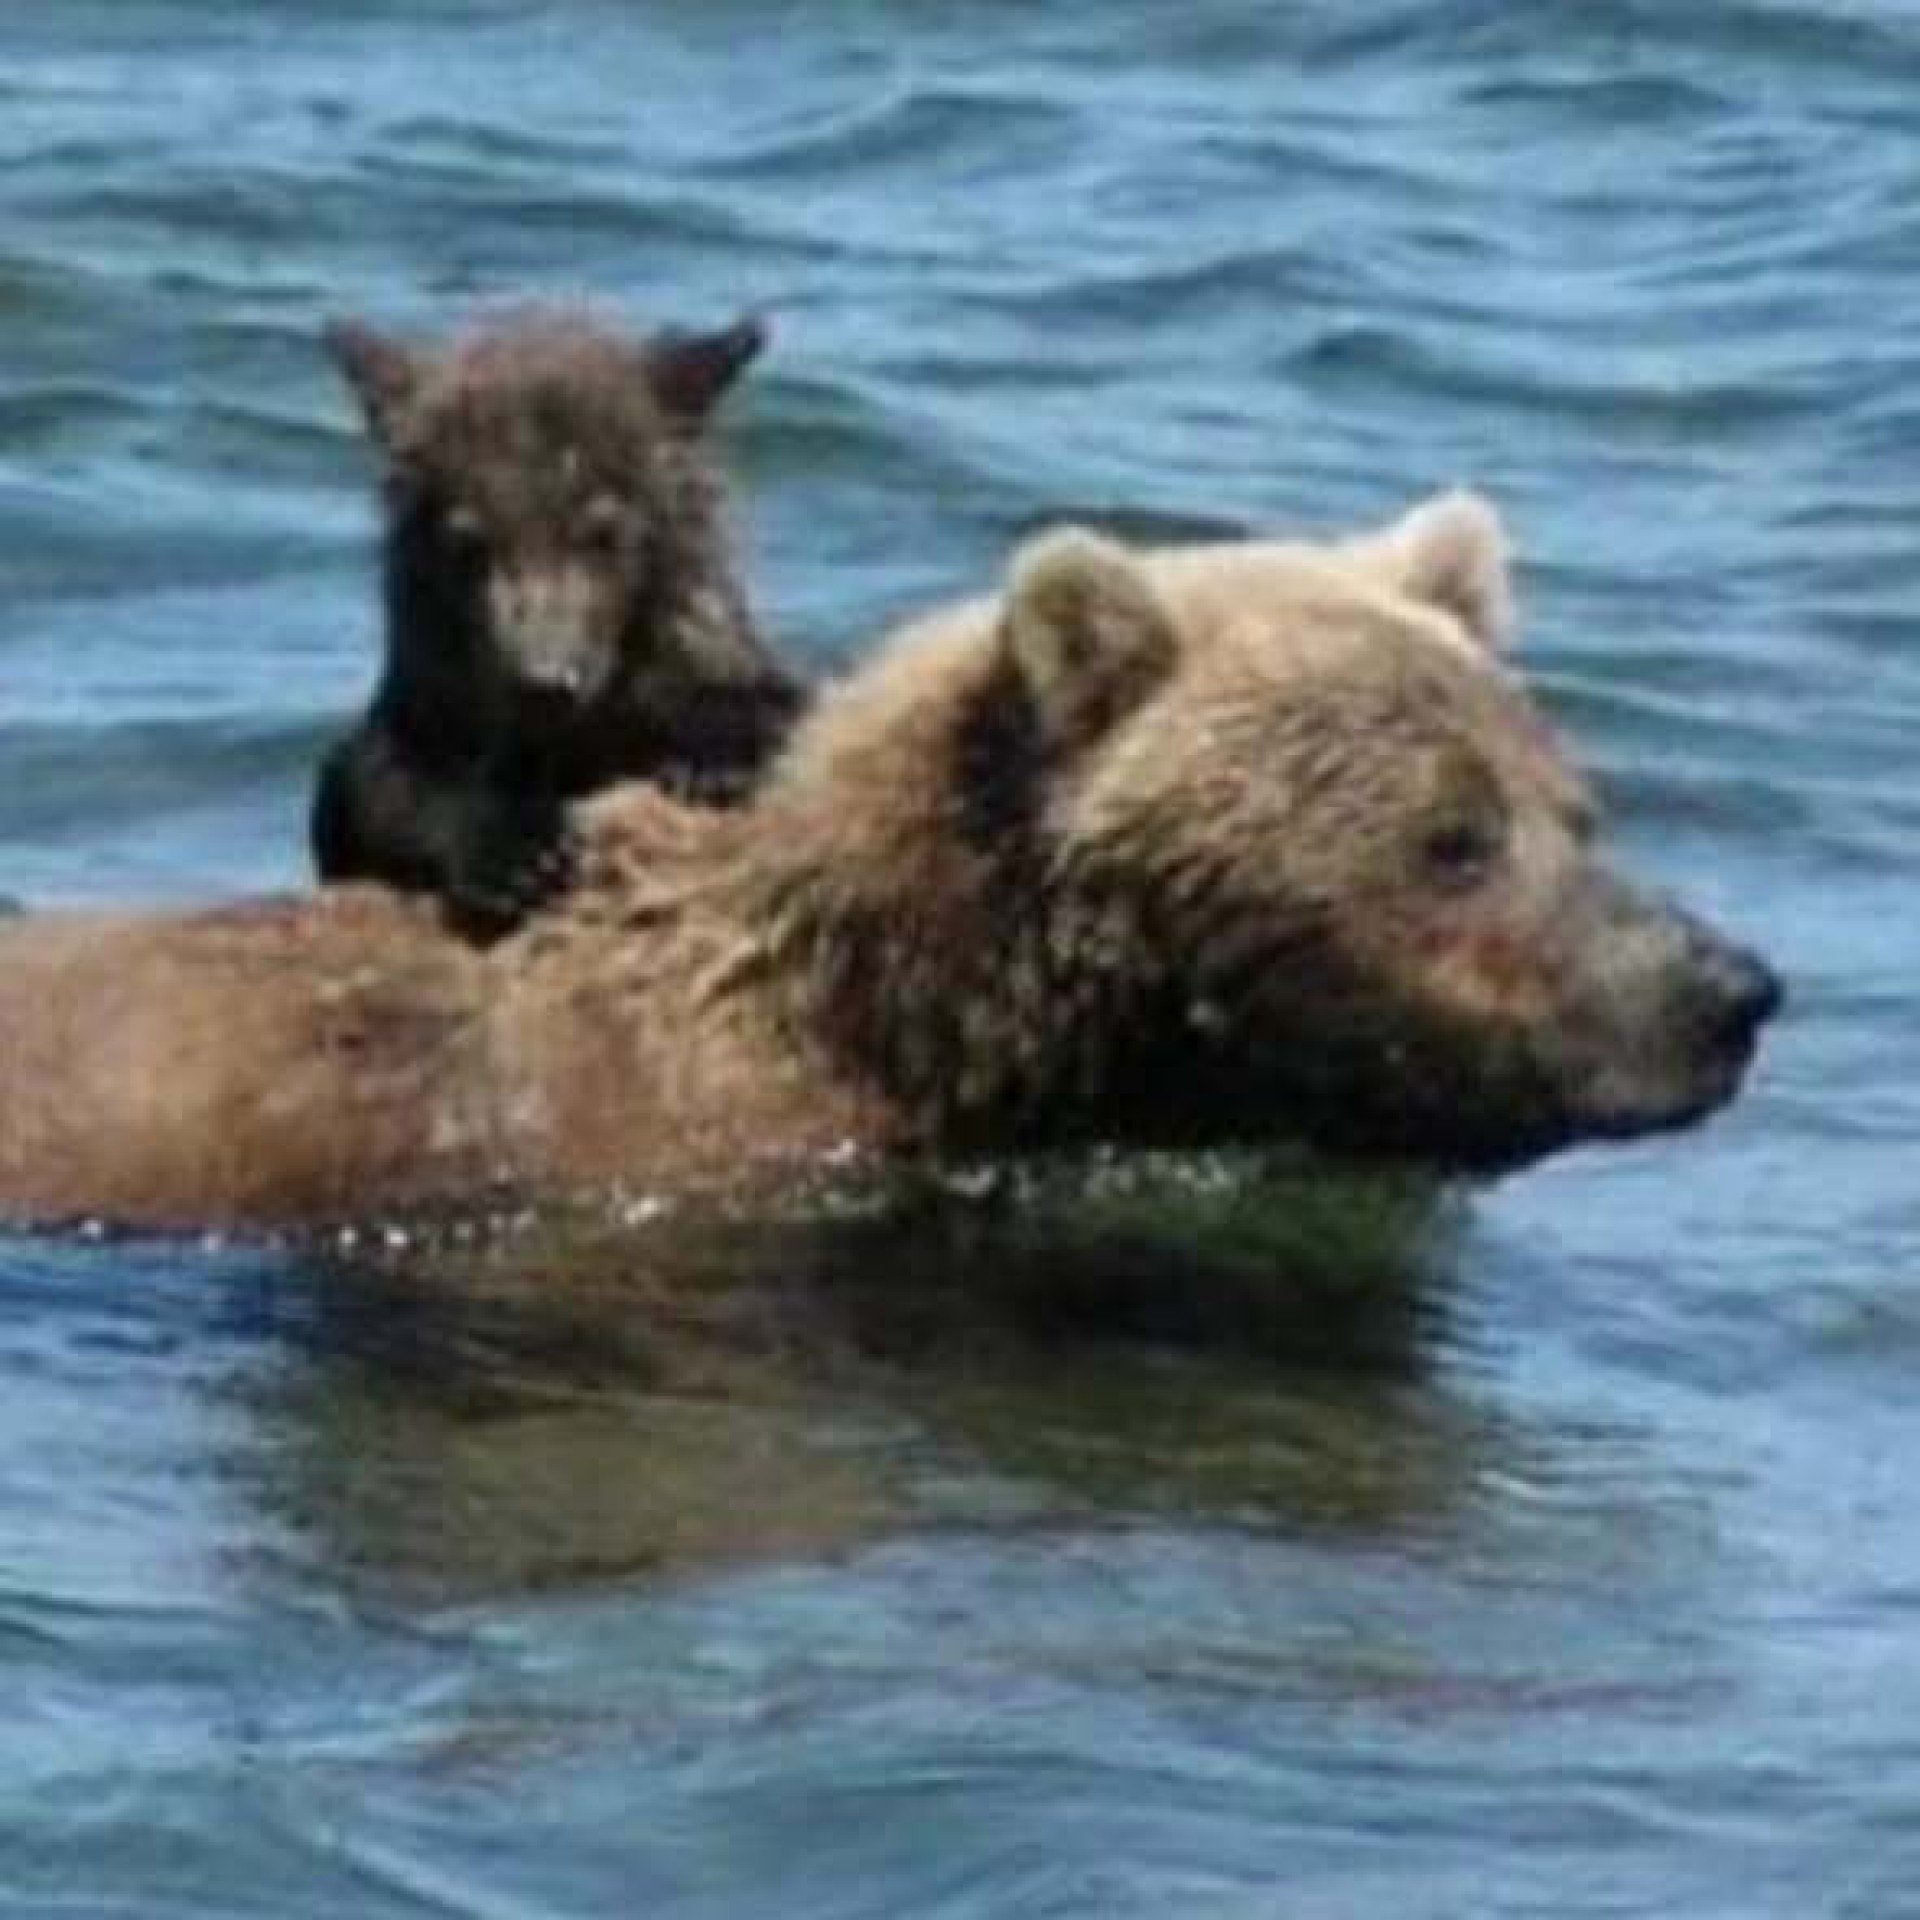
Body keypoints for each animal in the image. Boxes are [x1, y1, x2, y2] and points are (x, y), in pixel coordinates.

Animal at [311, 306, 808, 936]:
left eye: (603, 532)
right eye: (467, 541)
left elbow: (779, 707)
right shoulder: (430, 708)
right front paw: (516, 852)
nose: (544, 684)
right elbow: (378, 784)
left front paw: (717, 762)